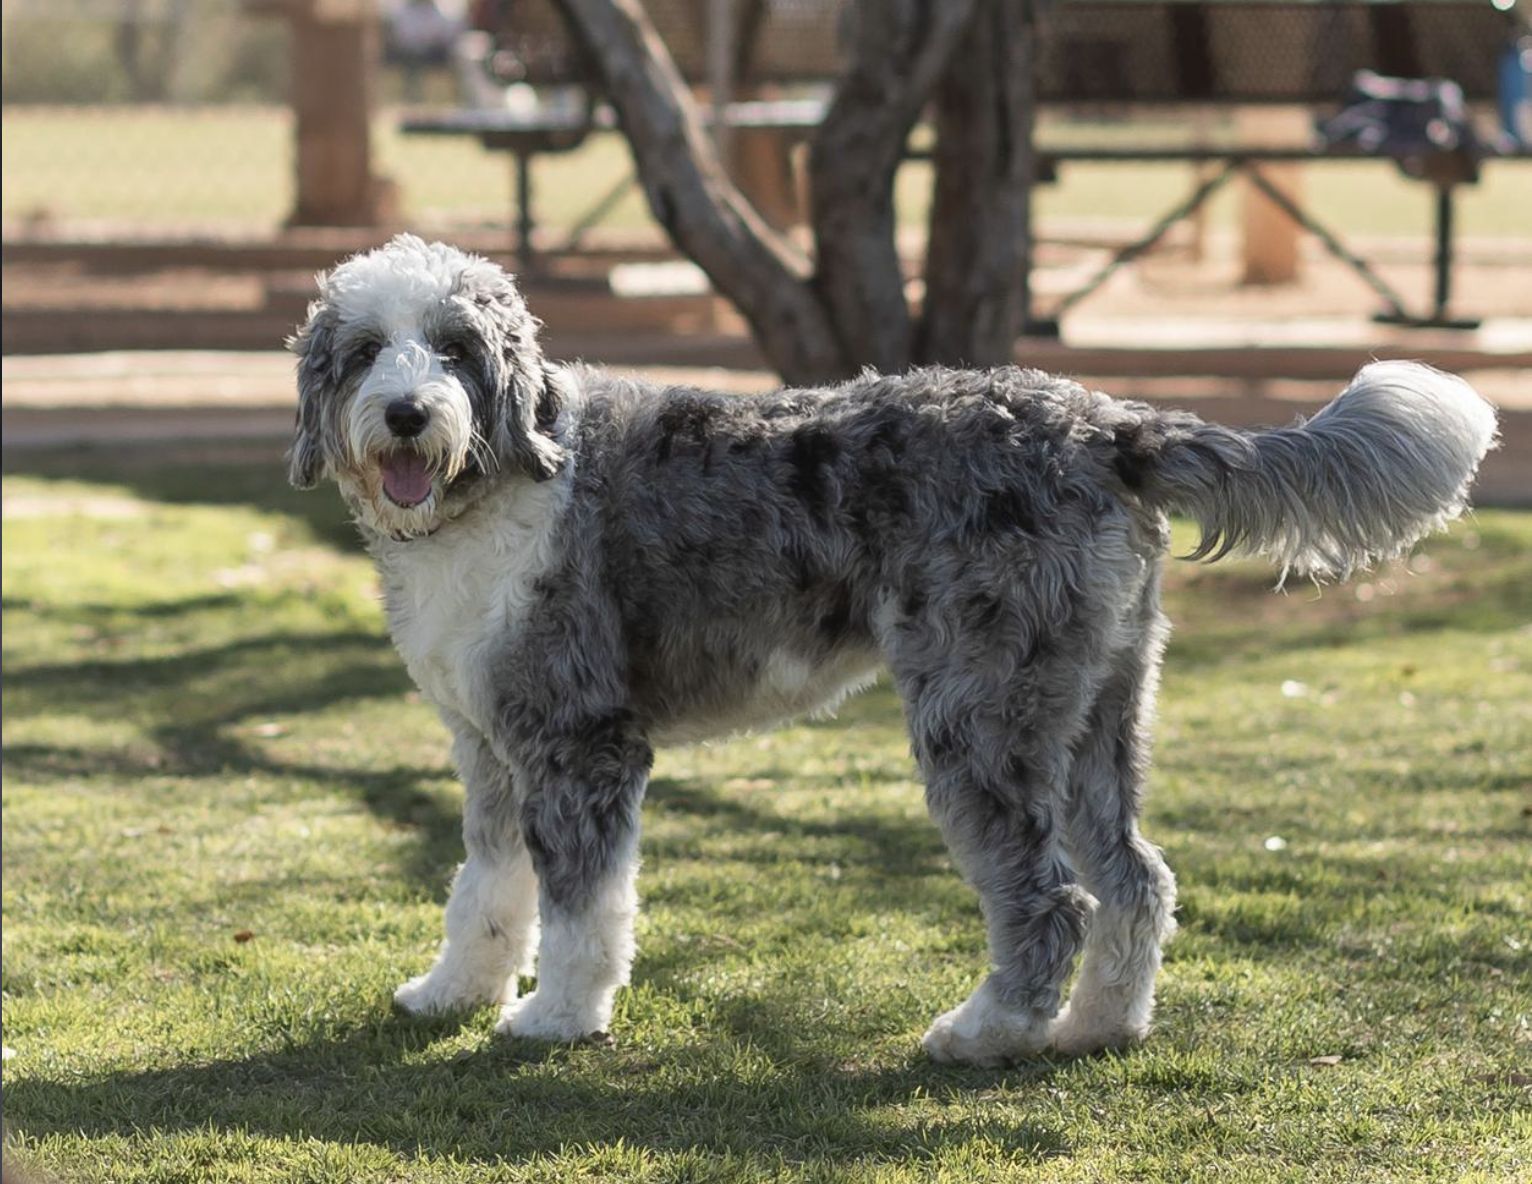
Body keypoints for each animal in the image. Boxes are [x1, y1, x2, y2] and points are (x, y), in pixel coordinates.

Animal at [288, 231, 1495, 1059]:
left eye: (454, 349)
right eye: (365, 352)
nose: (406, 413)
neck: (500, 480)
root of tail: (1105, 423)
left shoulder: (582, 742)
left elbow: (584, 902)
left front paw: (557, 1016)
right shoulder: (490, 746)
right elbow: (489, 884)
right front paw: (454, 992)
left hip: (978, 715)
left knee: (1050, 899)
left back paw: (986, 1032)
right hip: (1092, 707)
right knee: (1135, 878)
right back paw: (1096, 1027)